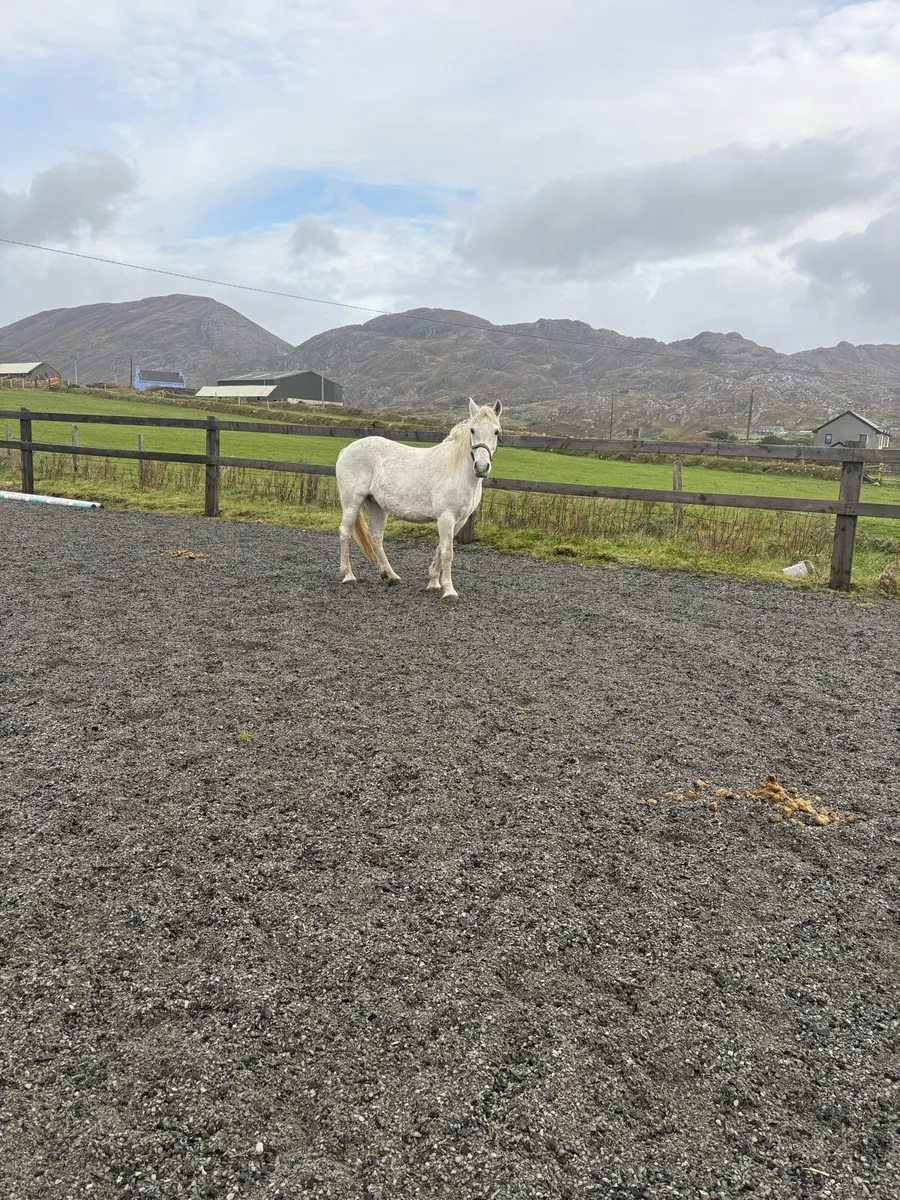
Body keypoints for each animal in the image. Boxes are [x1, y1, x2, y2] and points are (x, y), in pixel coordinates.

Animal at [335, 398, 503, 599]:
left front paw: (433, 582)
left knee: (375, 537)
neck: (458, 470)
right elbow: (447, 552)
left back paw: (390, 576)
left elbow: (440, 549)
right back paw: (348, 575)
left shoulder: (459, 520)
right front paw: (449, 590)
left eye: (496, 431)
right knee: (345, 532)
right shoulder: (446, 517)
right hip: (352, 503)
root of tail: (346, 449)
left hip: (376, 505)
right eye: (472, 430)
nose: (481, 467)